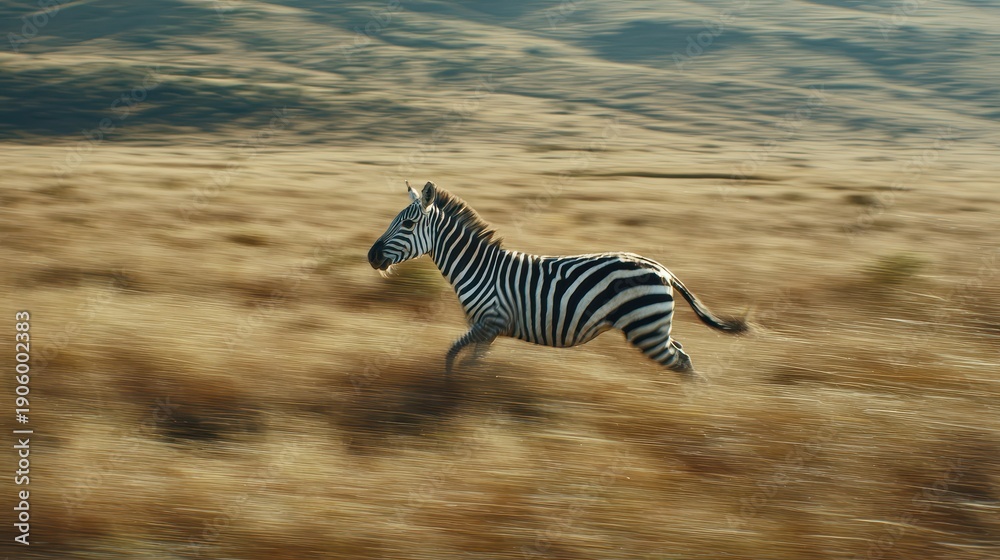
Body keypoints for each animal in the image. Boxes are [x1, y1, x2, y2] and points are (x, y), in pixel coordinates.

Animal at [367, 181, 747, 377]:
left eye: (408, 224)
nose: (371, 256)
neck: (479, 268)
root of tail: (662, 268)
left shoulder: (491, 321)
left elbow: (452, 355)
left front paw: (451, 388)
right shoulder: (487, 329)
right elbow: (472, 359)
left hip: (646, 329)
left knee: (682, 361)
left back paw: (689, 404)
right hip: (653, 327)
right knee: (681, 352)